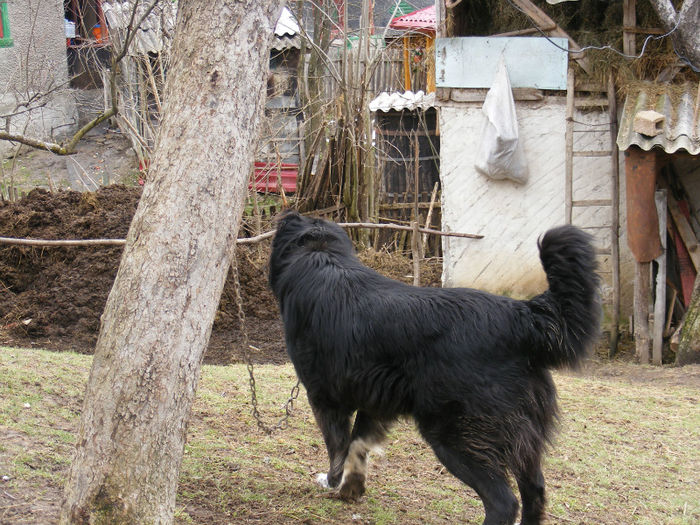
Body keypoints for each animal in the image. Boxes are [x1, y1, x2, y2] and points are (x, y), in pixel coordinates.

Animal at [270, 210, 600, 524]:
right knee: (535, 492)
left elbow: (338, 447)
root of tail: (523, 317)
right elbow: (357, 444)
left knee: (504, 502)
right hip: (523, 440)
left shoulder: (325, 398)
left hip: (454, 434)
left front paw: (332, 481)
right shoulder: (374, 399)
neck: (321, 253)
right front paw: (352, 487)